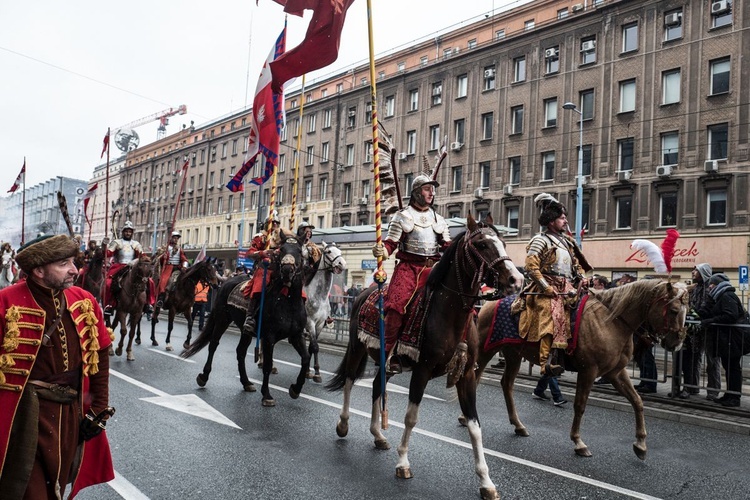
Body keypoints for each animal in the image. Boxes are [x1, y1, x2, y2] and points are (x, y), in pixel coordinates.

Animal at [181, 234, 308, 406]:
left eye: (299, 251)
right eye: (281, 250)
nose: (288, 270)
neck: (287, 301)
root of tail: (225, 283)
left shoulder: (296, 335)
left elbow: (305, 359)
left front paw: (296, 388)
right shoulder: (269, 338)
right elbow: (267, 364)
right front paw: (267, 395)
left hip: (245, 330)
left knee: (240, 351)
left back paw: (246, 382)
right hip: (222, 319)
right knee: (213, 344)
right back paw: (203, 376)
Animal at [304, 243, 348, 382]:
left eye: (340, 251)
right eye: (328, 251)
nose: (342, 263)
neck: (319, 296)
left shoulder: (320, 324)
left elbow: (311, 347)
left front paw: (309, 372)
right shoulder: (310, 323)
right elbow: (315, 347)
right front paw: (316, 373)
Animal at [326, 215, 524, 500]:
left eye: (504, 243)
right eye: (483, 244)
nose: (516, 280)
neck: (450, 312)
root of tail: (363, 293)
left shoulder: (466, 375)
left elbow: (475, 426)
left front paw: (486, 482)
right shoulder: (422, 370)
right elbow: (411, 418)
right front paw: (403, 463)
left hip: (384, 361)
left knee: (376, 386)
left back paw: (378, 435)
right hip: (356, 348)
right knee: (351, 381)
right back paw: (343, 425)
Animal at [478, 278, 692, 460]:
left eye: (686, 310)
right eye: (674, 310)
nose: (677, 343)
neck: (610, 322)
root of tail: (488, 303)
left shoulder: (615, 373)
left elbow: (637, 402)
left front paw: (640, 445)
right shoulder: (589, 371)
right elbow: (580, 405)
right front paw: (578, 442)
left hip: (513, 354)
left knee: (506, 384)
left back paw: (519, 426)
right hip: (485, 350)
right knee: (475, 376)